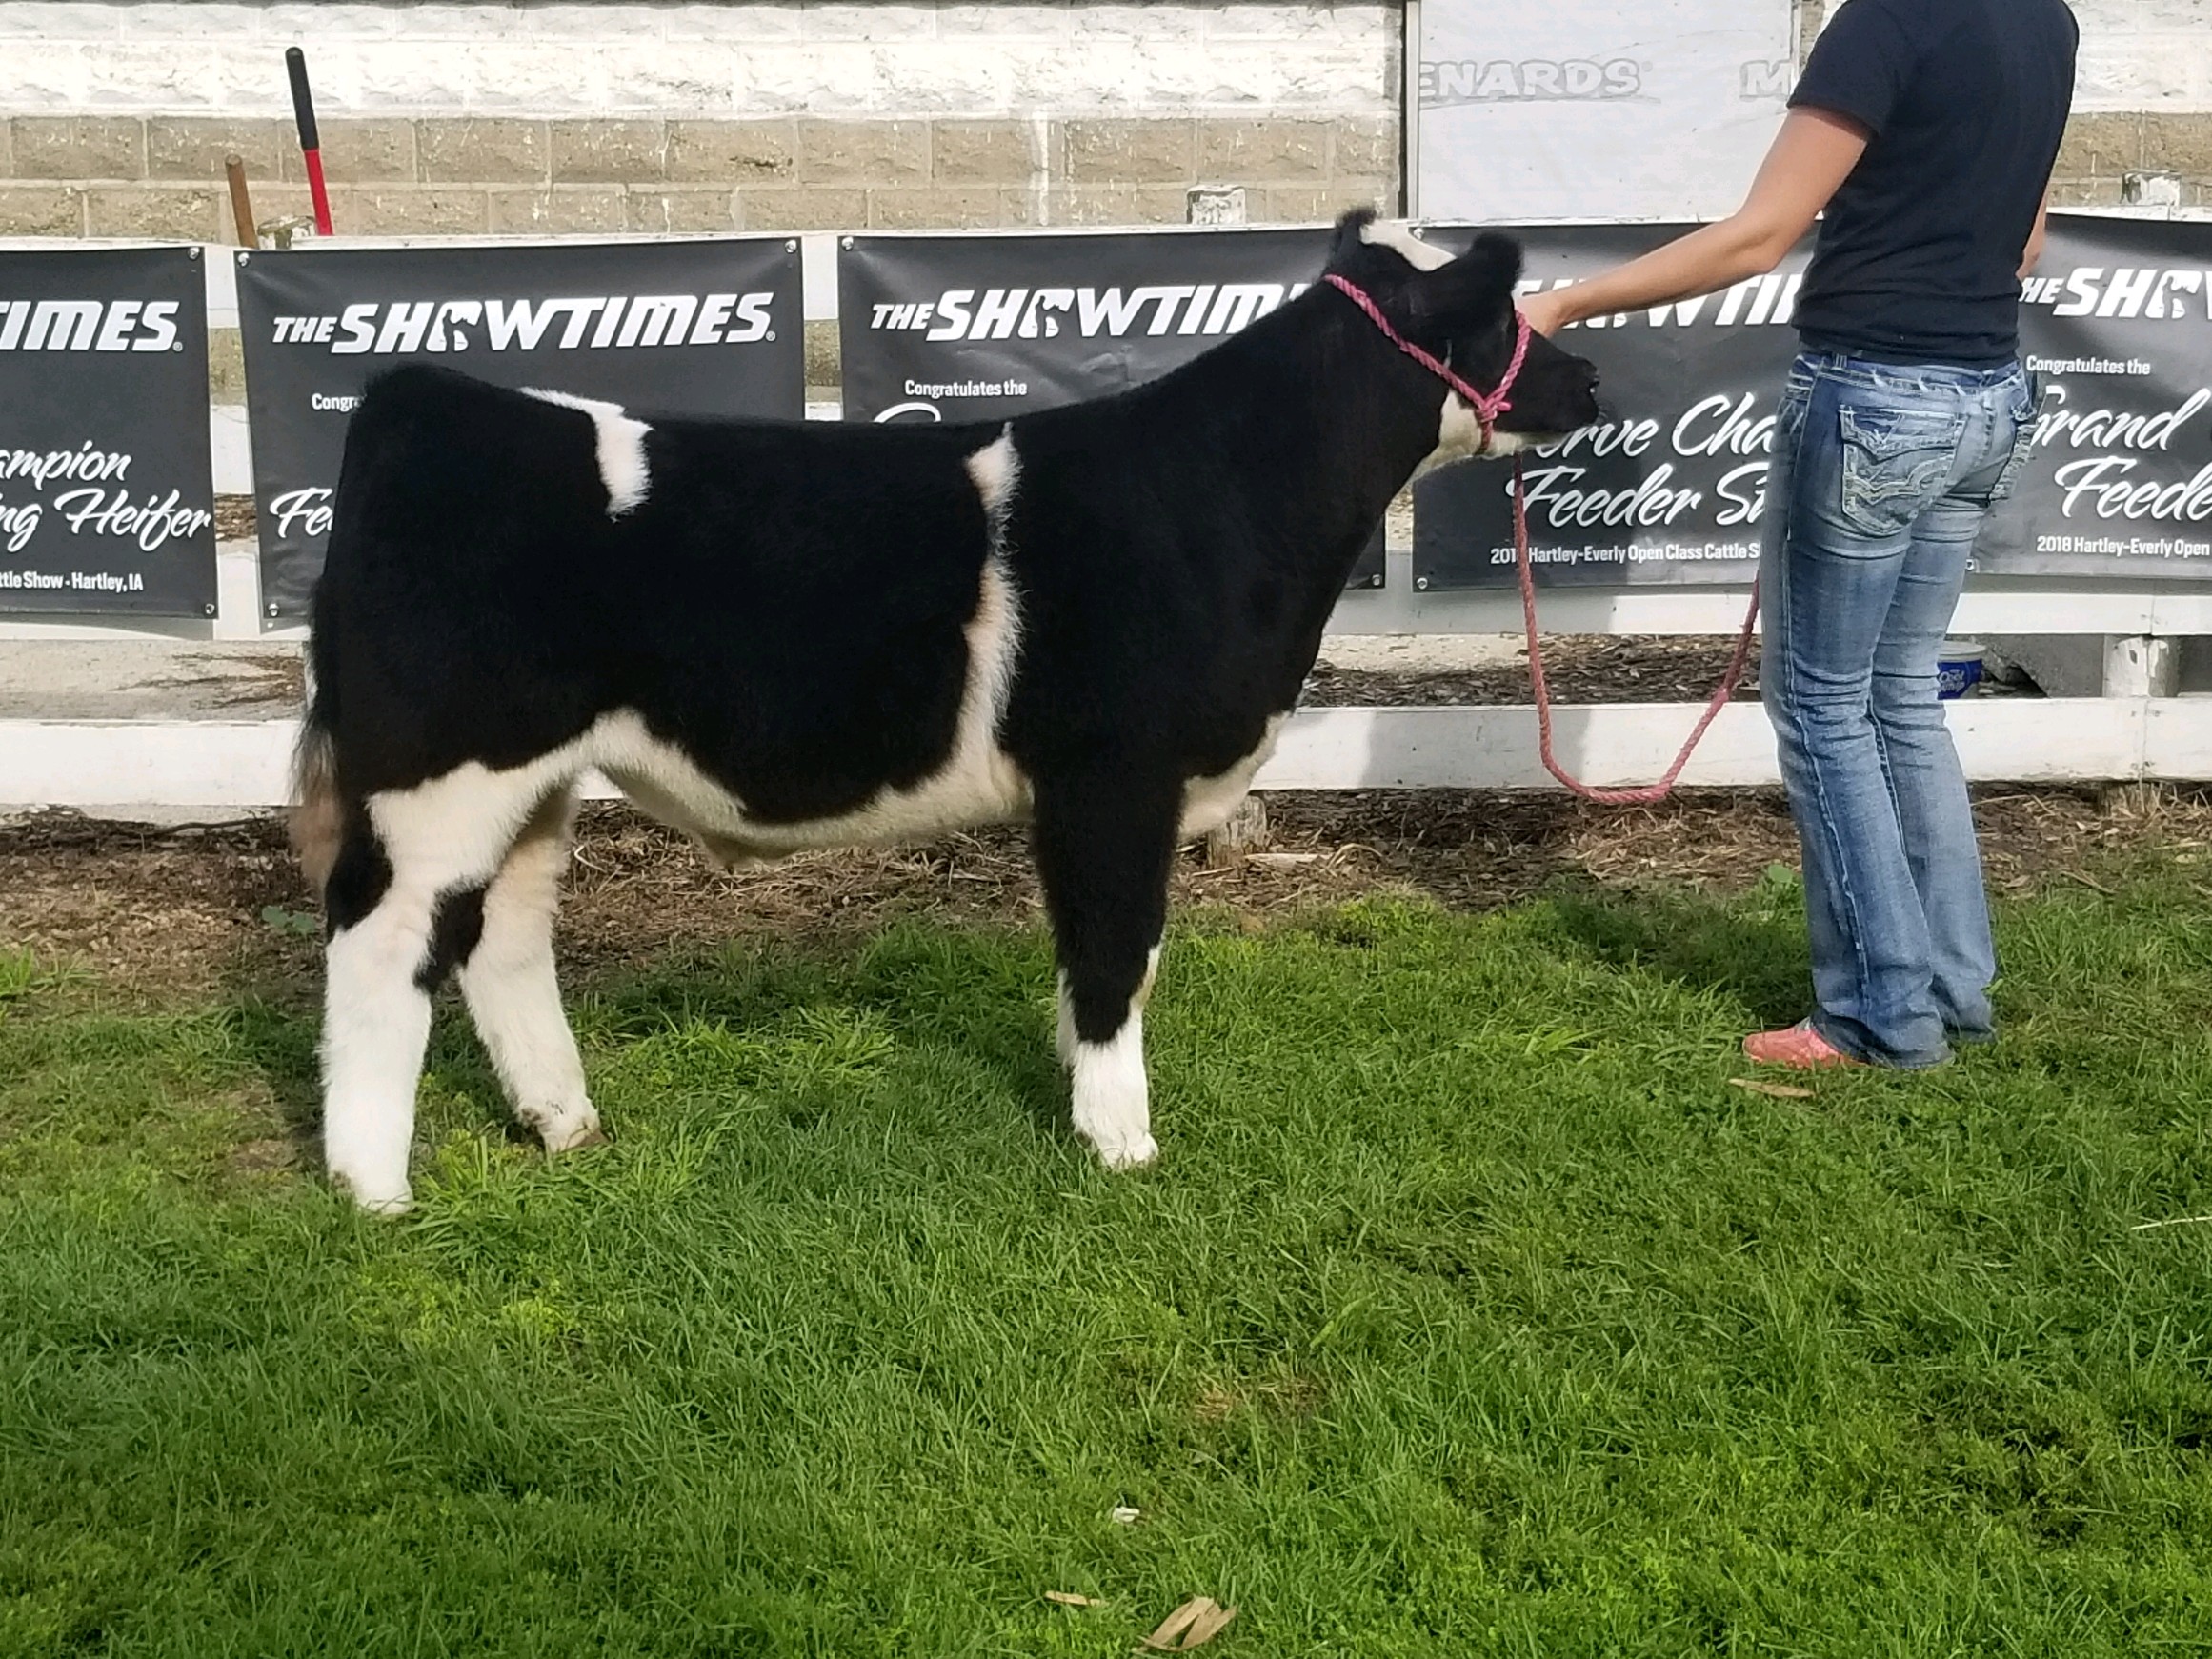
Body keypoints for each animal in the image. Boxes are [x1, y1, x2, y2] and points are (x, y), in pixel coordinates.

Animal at [292, 210, 1602, 1212]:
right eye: (1504, 311)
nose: (1590, 374)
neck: (1229, 497)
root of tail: (428, 397)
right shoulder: (1116, 774)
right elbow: (1121, 950)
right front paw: (1121, 1138)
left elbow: (1086, 953)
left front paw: (1078, 1085)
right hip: (441, 771)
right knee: (379, 937)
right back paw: (372, 1187)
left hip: (532, 779)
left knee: (501, 937)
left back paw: (564, 1119)